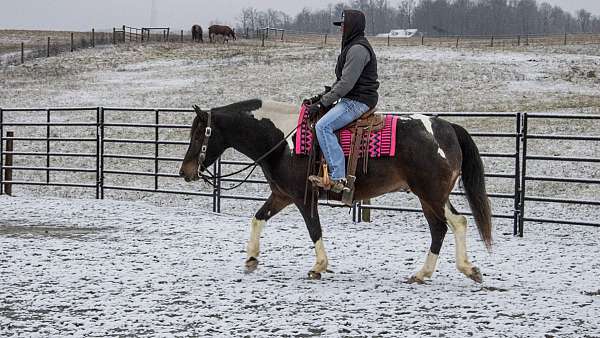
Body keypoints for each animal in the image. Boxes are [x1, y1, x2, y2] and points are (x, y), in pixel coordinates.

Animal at [180, 99, 494, 282]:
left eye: (197, 135)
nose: (184, 172)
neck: (282, 141)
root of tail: (447, 127)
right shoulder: (282, 195)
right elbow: (258, 218)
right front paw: (251, 259)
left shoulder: (302, 198)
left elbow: (314, 229)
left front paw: (319, 266)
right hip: (428, 197)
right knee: (440, 229)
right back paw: (424, 273)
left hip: (431, 194)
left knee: (456, 223)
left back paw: (468, 270)